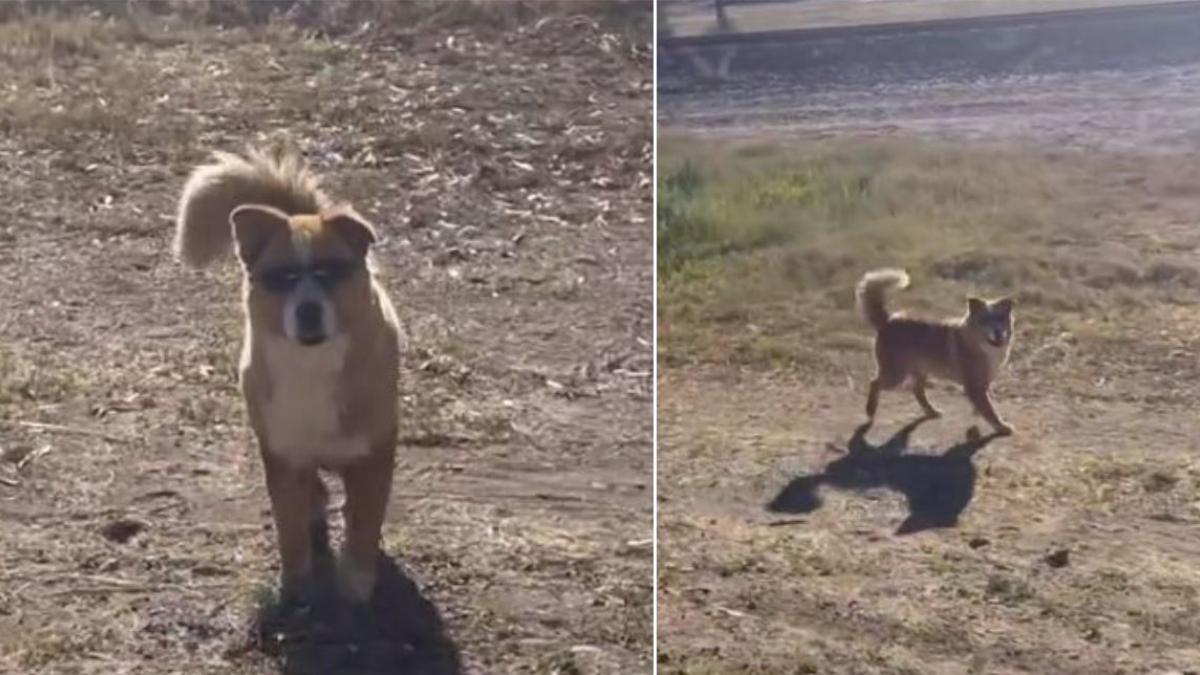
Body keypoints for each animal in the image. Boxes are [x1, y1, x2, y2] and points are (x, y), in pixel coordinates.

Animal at [174, 144, 400, 600]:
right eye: (282, 277)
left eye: (331, 271)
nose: (308, 309)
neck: (313, 366)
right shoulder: (282, 455)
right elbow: (289, 528)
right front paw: (297, 584)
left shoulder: (374, 457)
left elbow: (363, 525)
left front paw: (356, 582)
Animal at [859, 265, 1017, 432]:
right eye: (985, 320)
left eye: (1001, 318)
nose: (998, 332)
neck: (979, 345)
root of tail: (888, 321)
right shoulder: (975, 386)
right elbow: (990, 410)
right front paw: (1001, 426)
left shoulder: (983, 384)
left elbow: (983, 408)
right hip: (895, 374)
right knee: (874, 383)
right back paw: (870, 409)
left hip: (919, 370)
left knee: (917, 390)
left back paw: (931, 411)